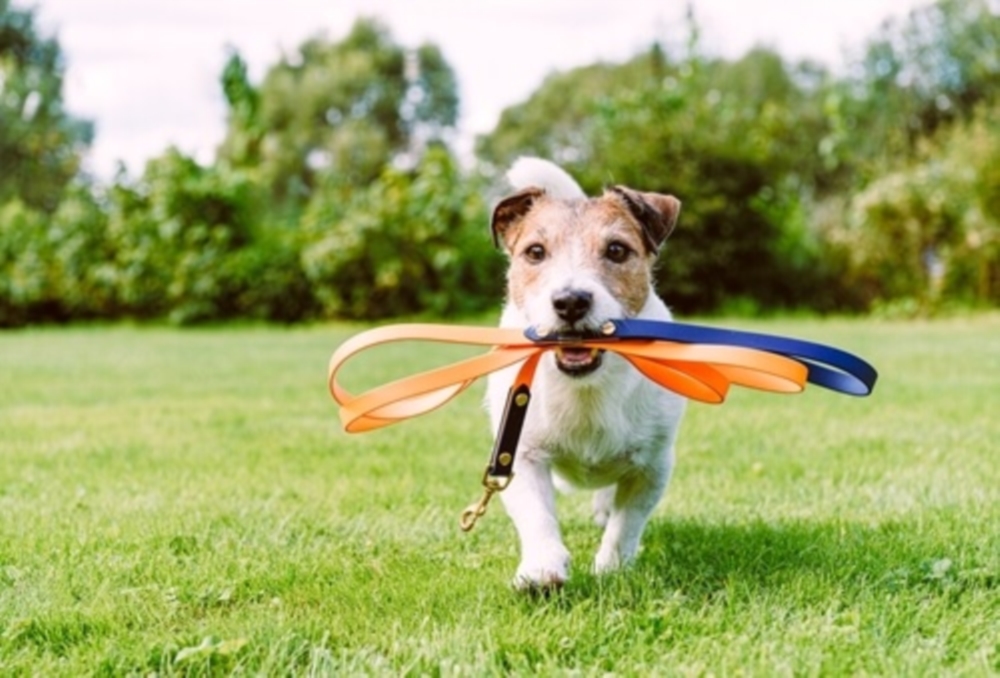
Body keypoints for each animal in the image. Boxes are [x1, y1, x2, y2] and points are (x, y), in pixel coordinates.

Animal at [486, 158, 688, 588]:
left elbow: (626, 524)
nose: (570, 301)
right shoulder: (519, 453)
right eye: (535, 252)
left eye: (616, 250)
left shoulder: (652, 466)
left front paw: (612, 569)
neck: (586, 387)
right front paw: (542, 567)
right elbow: (537, 515)